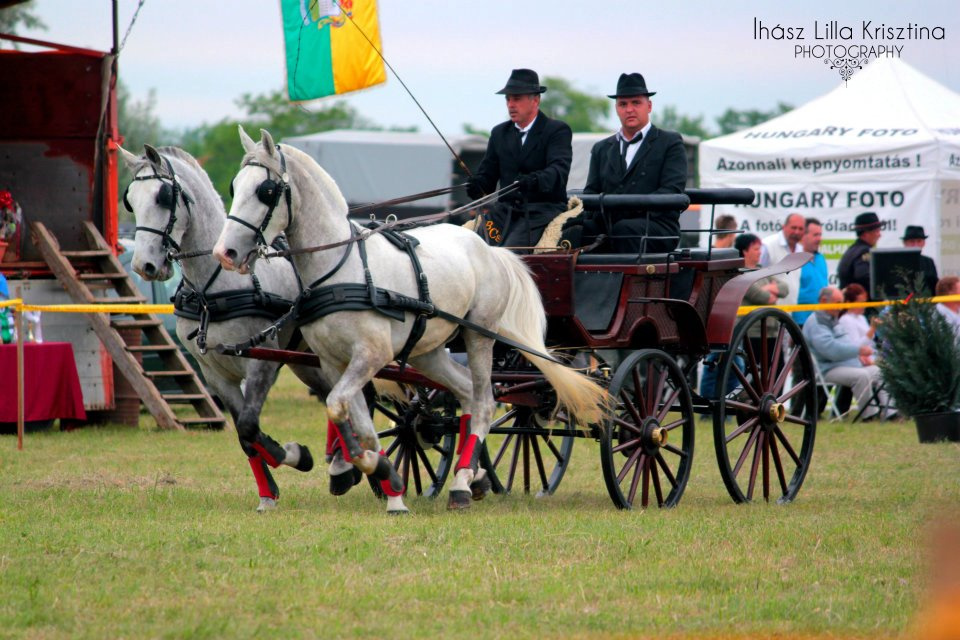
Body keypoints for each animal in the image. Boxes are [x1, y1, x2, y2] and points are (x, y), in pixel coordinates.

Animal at [122, 142, 342, 512]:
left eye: (163, 197)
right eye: (130, 200)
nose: (144, 265)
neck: (214, 290)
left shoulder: (260, 362)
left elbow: (251, 426)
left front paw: (296, 455)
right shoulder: (213, 374)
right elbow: (243, 434)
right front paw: (268, 494)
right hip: (306, 363)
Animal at [213, 127, 604, 512]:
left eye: (265, 191)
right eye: (234, 186)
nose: (225, 253)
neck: (341, 268)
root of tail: (489, 247)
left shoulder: (371, 355)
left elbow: (339, 408)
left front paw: (375, 472)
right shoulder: (333, 362)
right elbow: (356, 421)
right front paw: (385, 476)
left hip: (480, 336)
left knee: (483, 401)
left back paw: (461, 485)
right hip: (428, 351)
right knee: (465, 392)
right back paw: (472, 476)